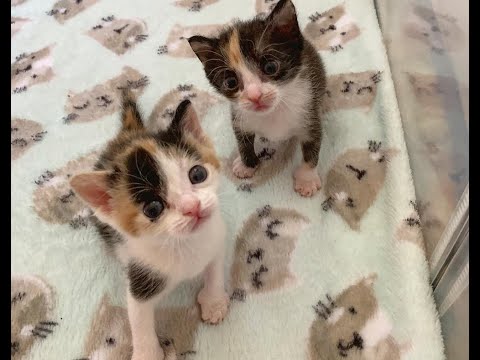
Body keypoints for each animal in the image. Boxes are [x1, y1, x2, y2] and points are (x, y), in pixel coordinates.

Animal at [69, 94, 231, 360]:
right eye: (153, 209)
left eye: (198, 174)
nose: (192, 206)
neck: (185, 245)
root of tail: (128, 134)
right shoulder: (141, 278)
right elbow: (139, 319)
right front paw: (147, 352)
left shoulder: (216, 237)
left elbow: (215, 271)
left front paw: (214, 301)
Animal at [188, 0, 326, 197]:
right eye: (231, 82)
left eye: (270, 67)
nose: (255, 95)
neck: (273, 114)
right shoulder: (240, 117)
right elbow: (243, 141)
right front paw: (246, 164)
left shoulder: (308, 111)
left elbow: (312, 146)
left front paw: (307, 179)